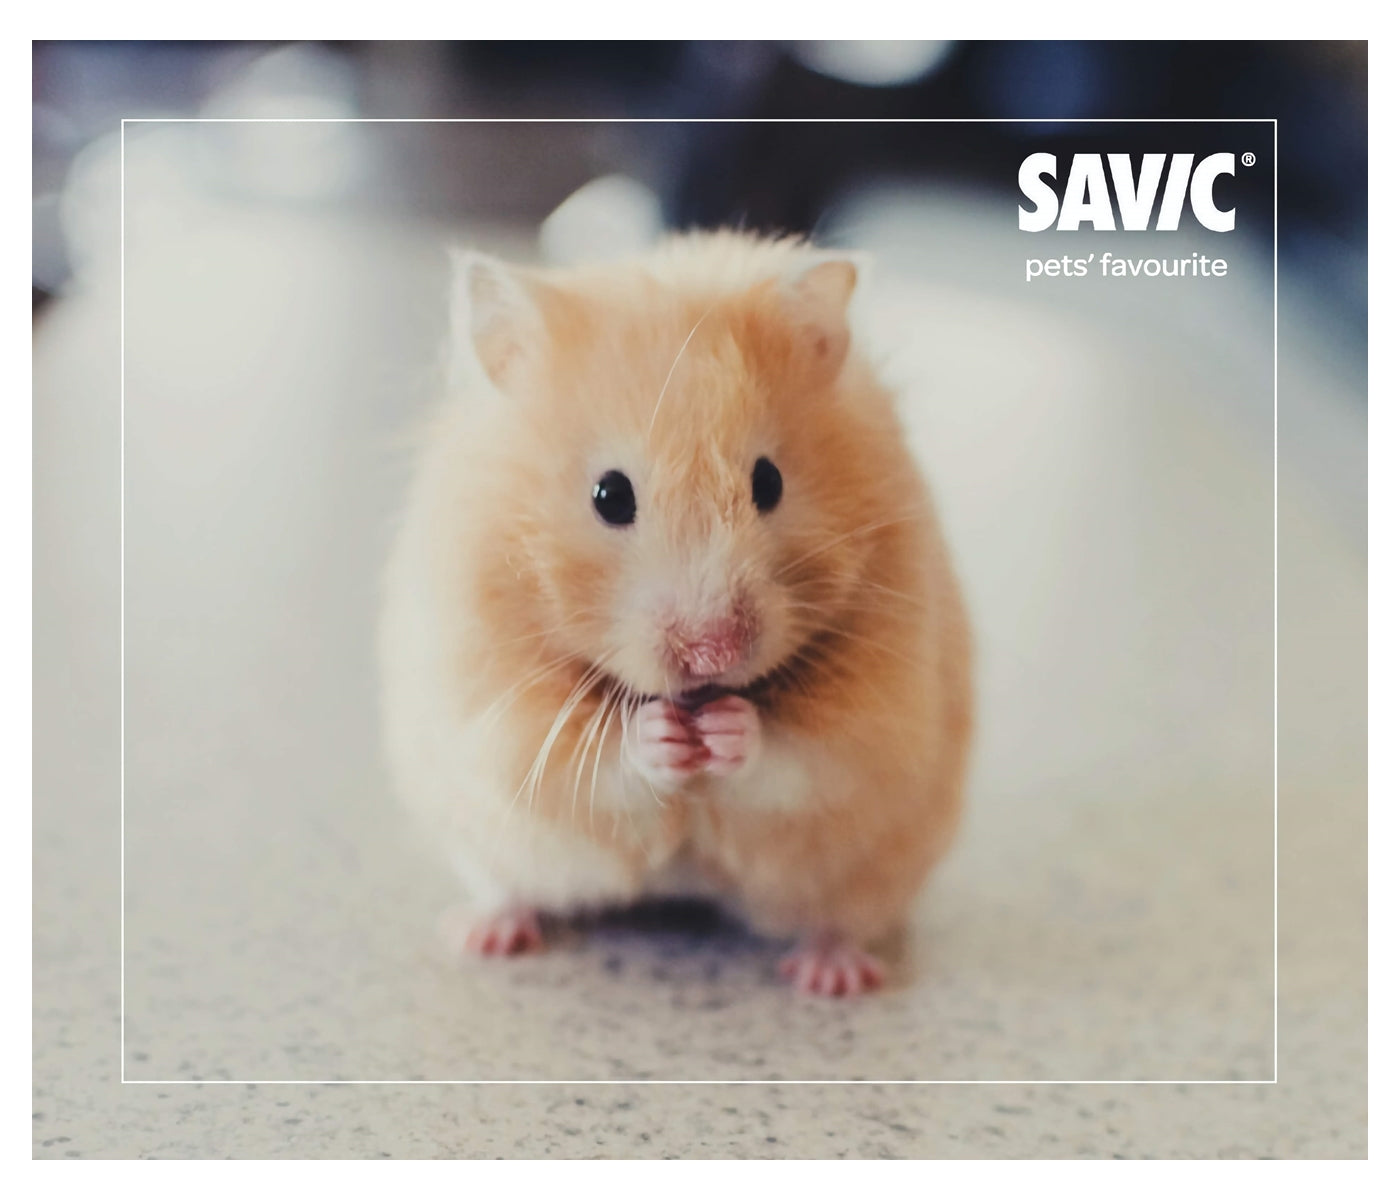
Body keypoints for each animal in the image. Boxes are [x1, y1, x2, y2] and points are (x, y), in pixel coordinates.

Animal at [378, 230, 972, 996]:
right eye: (609, 495)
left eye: (769, 482)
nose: (713, 653)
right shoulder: (493, 707)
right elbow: (589, 760)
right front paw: (662, 734)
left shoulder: (882, 715)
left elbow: (804, 757)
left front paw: (726, 730)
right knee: (508, 888)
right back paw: (483, 934)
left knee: (840, 919)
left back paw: (831, 976)